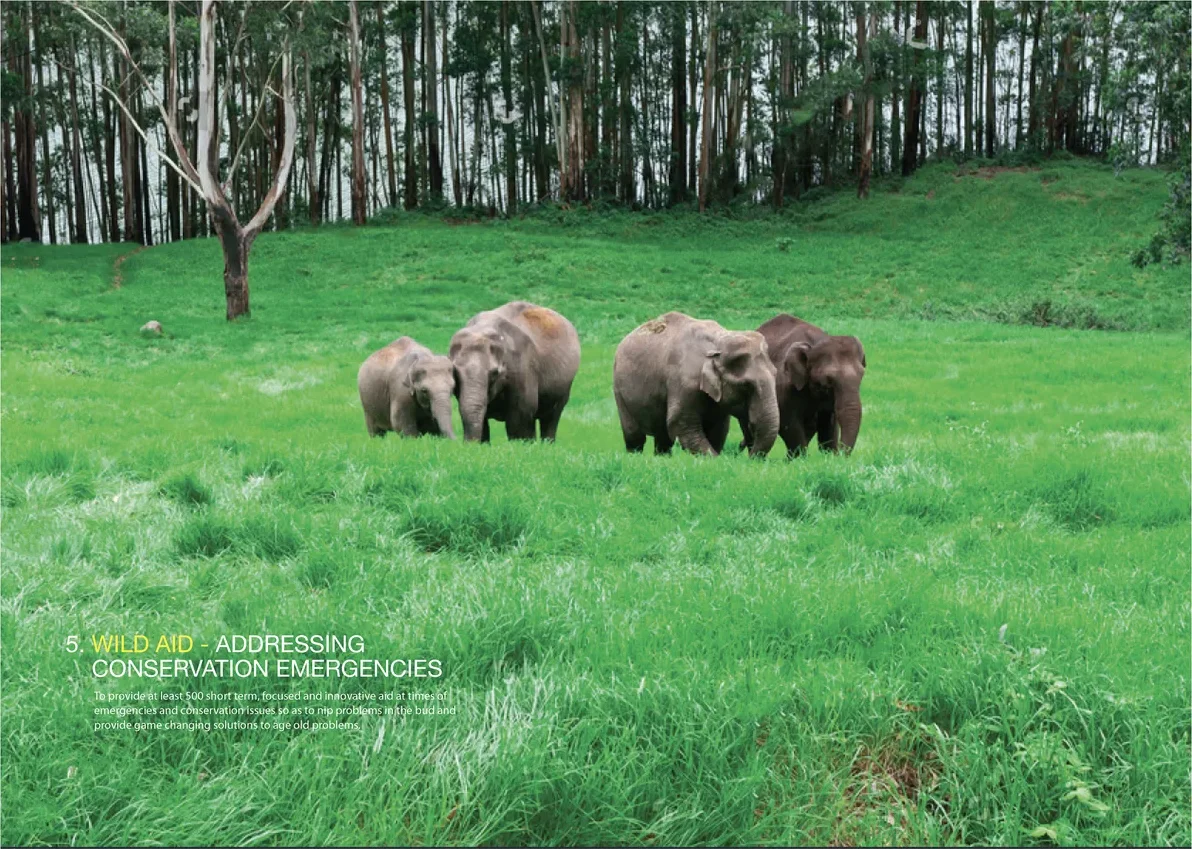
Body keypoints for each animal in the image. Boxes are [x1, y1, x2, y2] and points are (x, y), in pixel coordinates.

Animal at [449, 301, 581, 442]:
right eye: (455, 372)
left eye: (494, 373)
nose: (467, 443)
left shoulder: (523, 366)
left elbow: (520, 416)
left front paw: (522, 444)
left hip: (564, 386)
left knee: (551, 417)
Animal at [613, 312, 780, 457]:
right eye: (746, 386)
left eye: (775, 375)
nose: (749, 457)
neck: (718, 342)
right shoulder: (683, 382)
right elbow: (680, 424)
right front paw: (714, 460)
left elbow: (719, 428)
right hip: (619, 391)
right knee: (634, 436)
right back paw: (635, 455)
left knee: (663, 438)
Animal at [738, 314, 866, 457]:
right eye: (828, 381)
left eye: (861, 375)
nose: (841, 454)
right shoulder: (785, 385)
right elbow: (788, 422)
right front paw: (800, 459)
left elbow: (829, 423)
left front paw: (829, 456)